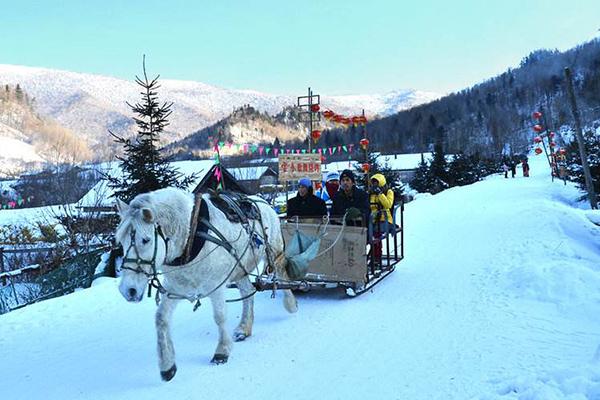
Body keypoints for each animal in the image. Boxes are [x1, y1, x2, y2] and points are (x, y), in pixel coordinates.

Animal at [113, 188, 298, 382]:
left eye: (146, 240)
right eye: (120, 241)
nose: (128, 290)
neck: (190, 234)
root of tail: (261, 200)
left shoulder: (216, 284)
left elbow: (219, 316)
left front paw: (222, 351)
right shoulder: (174, 288)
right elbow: (161, 319)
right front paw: (167, 365)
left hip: (274, 253)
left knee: (280, 273)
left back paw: (290, 303)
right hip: (239, 267)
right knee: (248, 291)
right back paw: (244, 328)